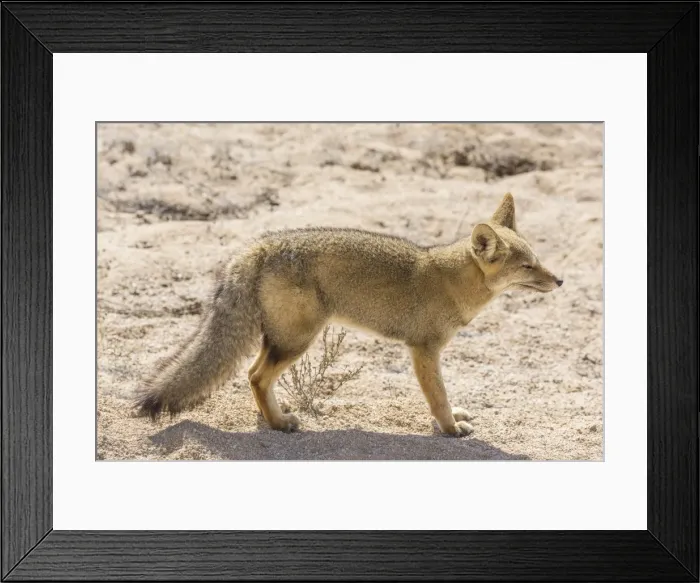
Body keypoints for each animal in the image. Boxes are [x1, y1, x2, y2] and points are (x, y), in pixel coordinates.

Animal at [134, 192, 563, 437]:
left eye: (538, 260)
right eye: (527, 267)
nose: (559, 279)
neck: (451, 280)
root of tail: (258, 246)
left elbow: (444, 394)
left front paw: (452, 418)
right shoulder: (423, 349)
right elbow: (438, 396)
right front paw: (449, 428)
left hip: (281, 340)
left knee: (253, 374)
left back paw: (272, 417)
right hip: (298, 341)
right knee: (256, 376)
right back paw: (279, 425)